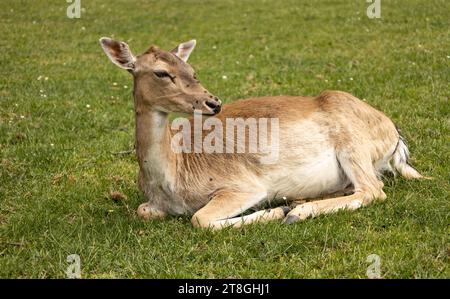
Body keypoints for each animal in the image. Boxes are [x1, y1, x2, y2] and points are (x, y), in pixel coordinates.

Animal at [98, 37, 426, 230]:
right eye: (161, 72)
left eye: (191, 68)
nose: (213, 102)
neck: (172, 179)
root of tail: (395, 136)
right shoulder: (152, 204)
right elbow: (142, 210)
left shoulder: (243, 185)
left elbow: (200, 218)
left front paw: (277, 212)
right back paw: (300, 202)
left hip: (353, 144)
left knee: (373, 189)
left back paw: (295, 212)